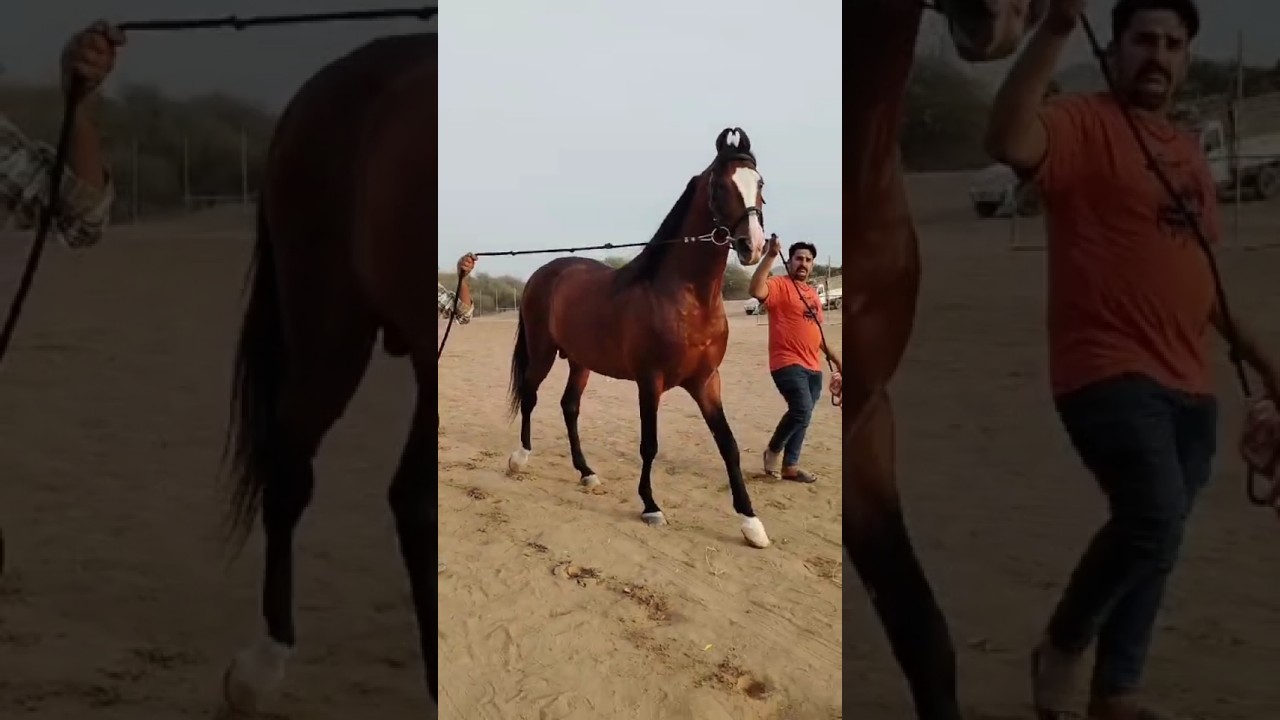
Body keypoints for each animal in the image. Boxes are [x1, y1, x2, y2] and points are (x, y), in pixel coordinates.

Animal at [504, 128, 772, 549]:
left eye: (759, 183)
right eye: (720, 186)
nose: (753, 245)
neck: (686, 297)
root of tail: (544, 272)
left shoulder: (707, 381)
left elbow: (728, 445)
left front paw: (751, 522)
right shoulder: (650, 381)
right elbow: (650, 444)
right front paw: (650, 506)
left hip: (580, 361)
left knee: (569, 407)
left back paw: (586, 471)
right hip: (543, 351)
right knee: (530, 396)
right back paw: (520, 458)